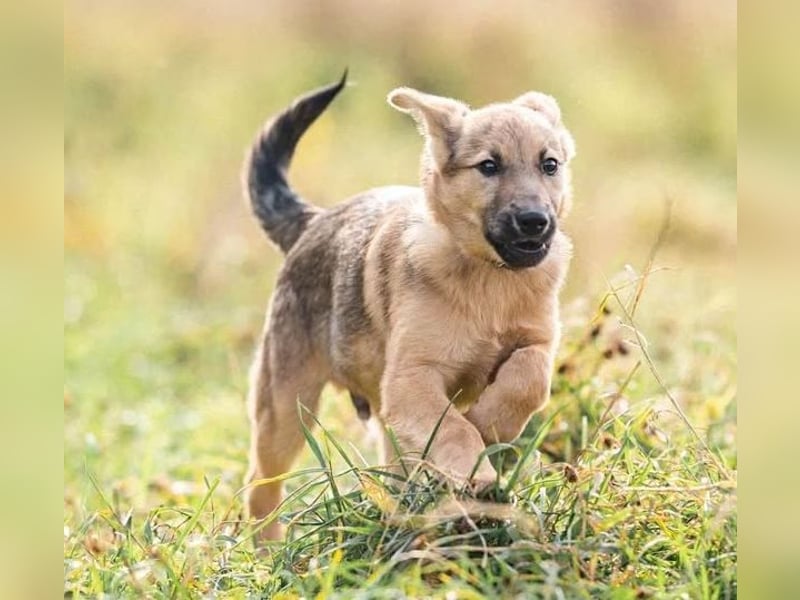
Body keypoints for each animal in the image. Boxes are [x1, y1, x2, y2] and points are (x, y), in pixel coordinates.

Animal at [243, 72, 575, 541]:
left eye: (549, 165)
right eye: (488, 166)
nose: (534, 222)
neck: (489, 279)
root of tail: (315, 220)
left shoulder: (537, 344)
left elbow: (527, 382)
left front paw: (488, 423)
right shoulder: (411, 378)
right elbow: (453, 428)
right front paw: (477, 473)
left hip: (376, 418)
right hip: (286, 406)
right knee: (261, 485)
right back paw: (266, 551)